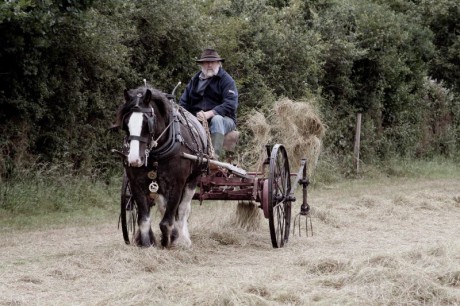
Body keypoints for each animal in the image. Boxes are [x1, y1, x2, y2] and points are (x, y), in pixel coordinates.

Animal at [116, 86, 208, 249]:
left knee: (183, 209)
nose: (134, 159)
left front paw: (169, 241)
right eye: (126, 123)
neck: (156, 154)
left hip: (193, 179)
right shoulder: (136, 183)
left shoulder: (177, 183)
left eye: (147, 123)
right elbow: (144, 220)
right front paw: (147, 244)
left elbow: (167, 220)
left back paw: (183, 238)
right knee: (164, 206)